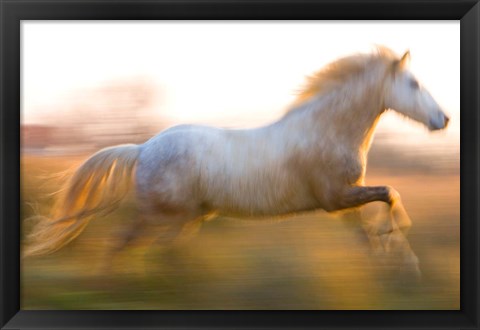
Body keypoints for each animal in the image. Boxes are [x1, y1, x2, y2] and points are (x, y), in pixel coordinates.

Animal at [23, 47, 450, 276]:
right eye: (414, 84)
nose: (443, 119)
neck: (325, 130)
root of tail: (143, 149)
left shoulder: (345, 201)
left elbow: (370, 228)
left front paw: (395, 261)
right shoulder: (336, 198)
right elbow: (390, 194)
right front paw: (404, 253)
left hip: (184, 218)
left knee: (152, 247)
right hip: (163, 215)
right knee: (127, 243)